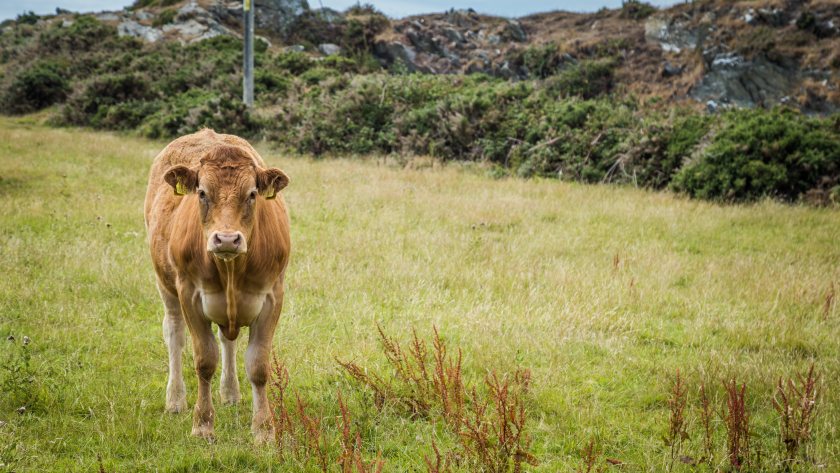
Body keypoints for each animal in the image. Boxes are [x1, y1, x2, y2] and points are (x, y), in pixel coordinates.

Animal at [143, 127, 290, 440]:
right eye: (202, 193)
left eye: (252, 194)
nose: (226, 239)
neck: (231, 269)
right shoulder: (190, 295)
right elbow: (204, 361)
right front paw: (202, 425)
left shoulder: (273, 296)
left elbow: (258, 365)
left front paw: (263, 429)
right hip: (166, 285)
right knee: (174, 334)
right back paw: (175, 399)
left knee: (227, 341)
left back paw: (231, 393)